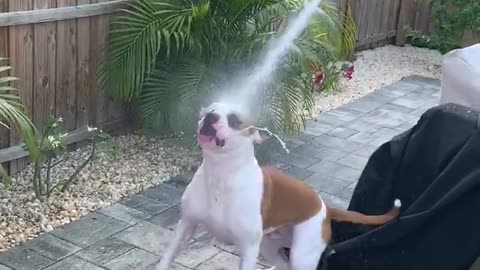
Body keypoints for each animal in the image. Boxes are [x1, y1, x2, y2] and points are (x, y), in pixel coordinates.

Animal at [155, 102, 402, 268]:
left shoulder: (248, 249)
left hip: (302, 255)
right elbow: (166, 258)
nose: (210, 116)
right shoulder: (186, 226)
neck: (221, 174)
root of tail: (325, 208)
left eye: (234, 119)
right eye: (208, 109)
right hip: (270, 247)